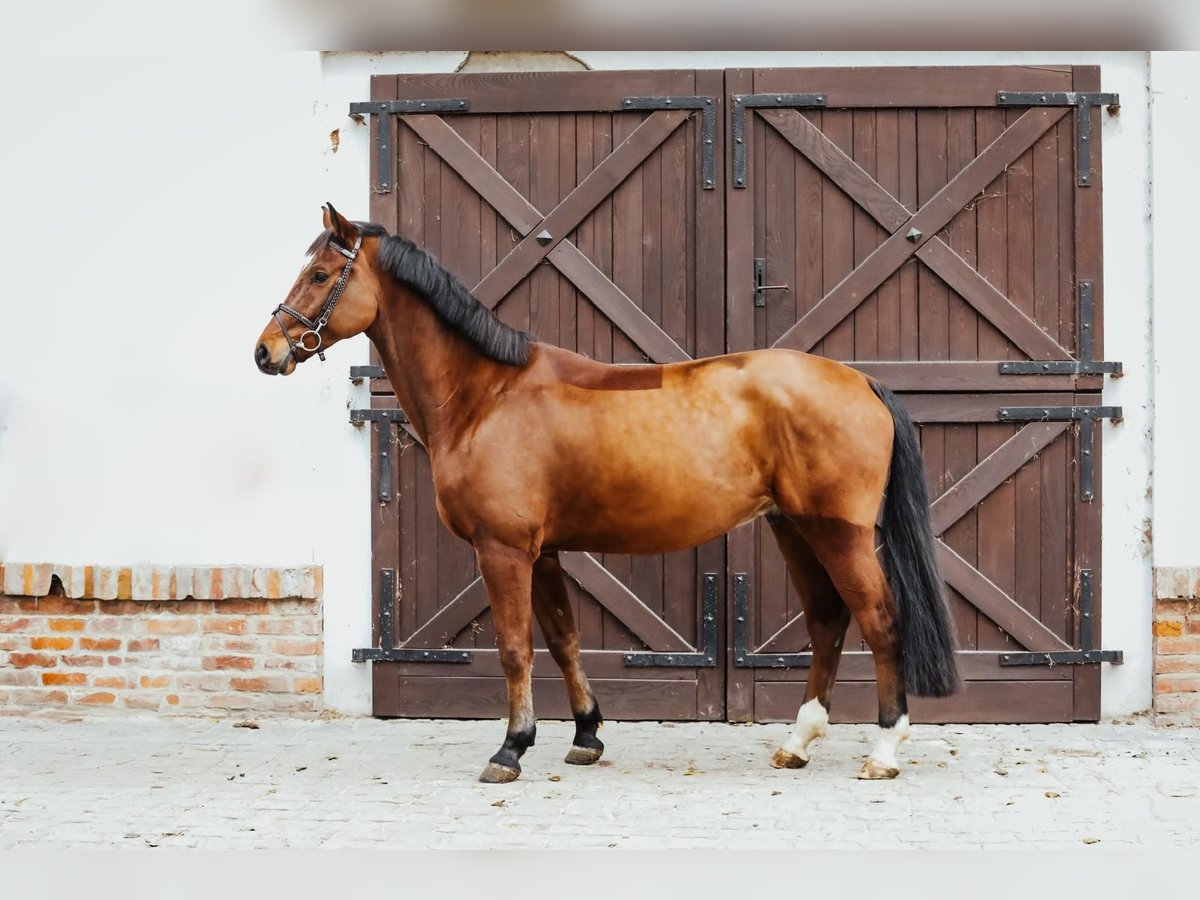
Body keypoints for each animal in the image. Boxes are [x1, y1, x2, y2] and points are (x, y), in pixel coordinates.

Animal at [253, 202, 955, 782]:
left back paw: (884, 751)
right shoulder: (545, 552)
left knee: (880, 620)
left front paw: (510, 749)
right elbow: (563, 639)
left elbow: (515, 647)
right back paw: (798, 743)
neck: (487, 397)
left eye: (321, 275)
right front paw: (585, 735)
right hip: (794, 528)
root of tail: (863, 382)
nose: (265, 352)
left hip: (840, 533)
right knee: (828, 620)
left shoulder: (503, 550)